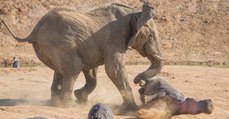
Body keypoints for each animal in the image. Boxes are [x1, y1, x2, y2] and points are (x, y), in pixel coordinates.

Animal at [1, 2, 163, 109]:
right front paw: (131, 109)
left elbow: (91, 69)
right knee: (73, 68)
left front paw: (81, 98)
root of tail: (35, 30)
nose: (140, 83)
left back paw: (57, 102)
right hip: (59, 44)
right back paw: (69, 105)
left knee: (61, 71)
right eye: (151, 36)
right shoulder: (115, 40)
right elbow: (114, 70)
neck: (133, 12)